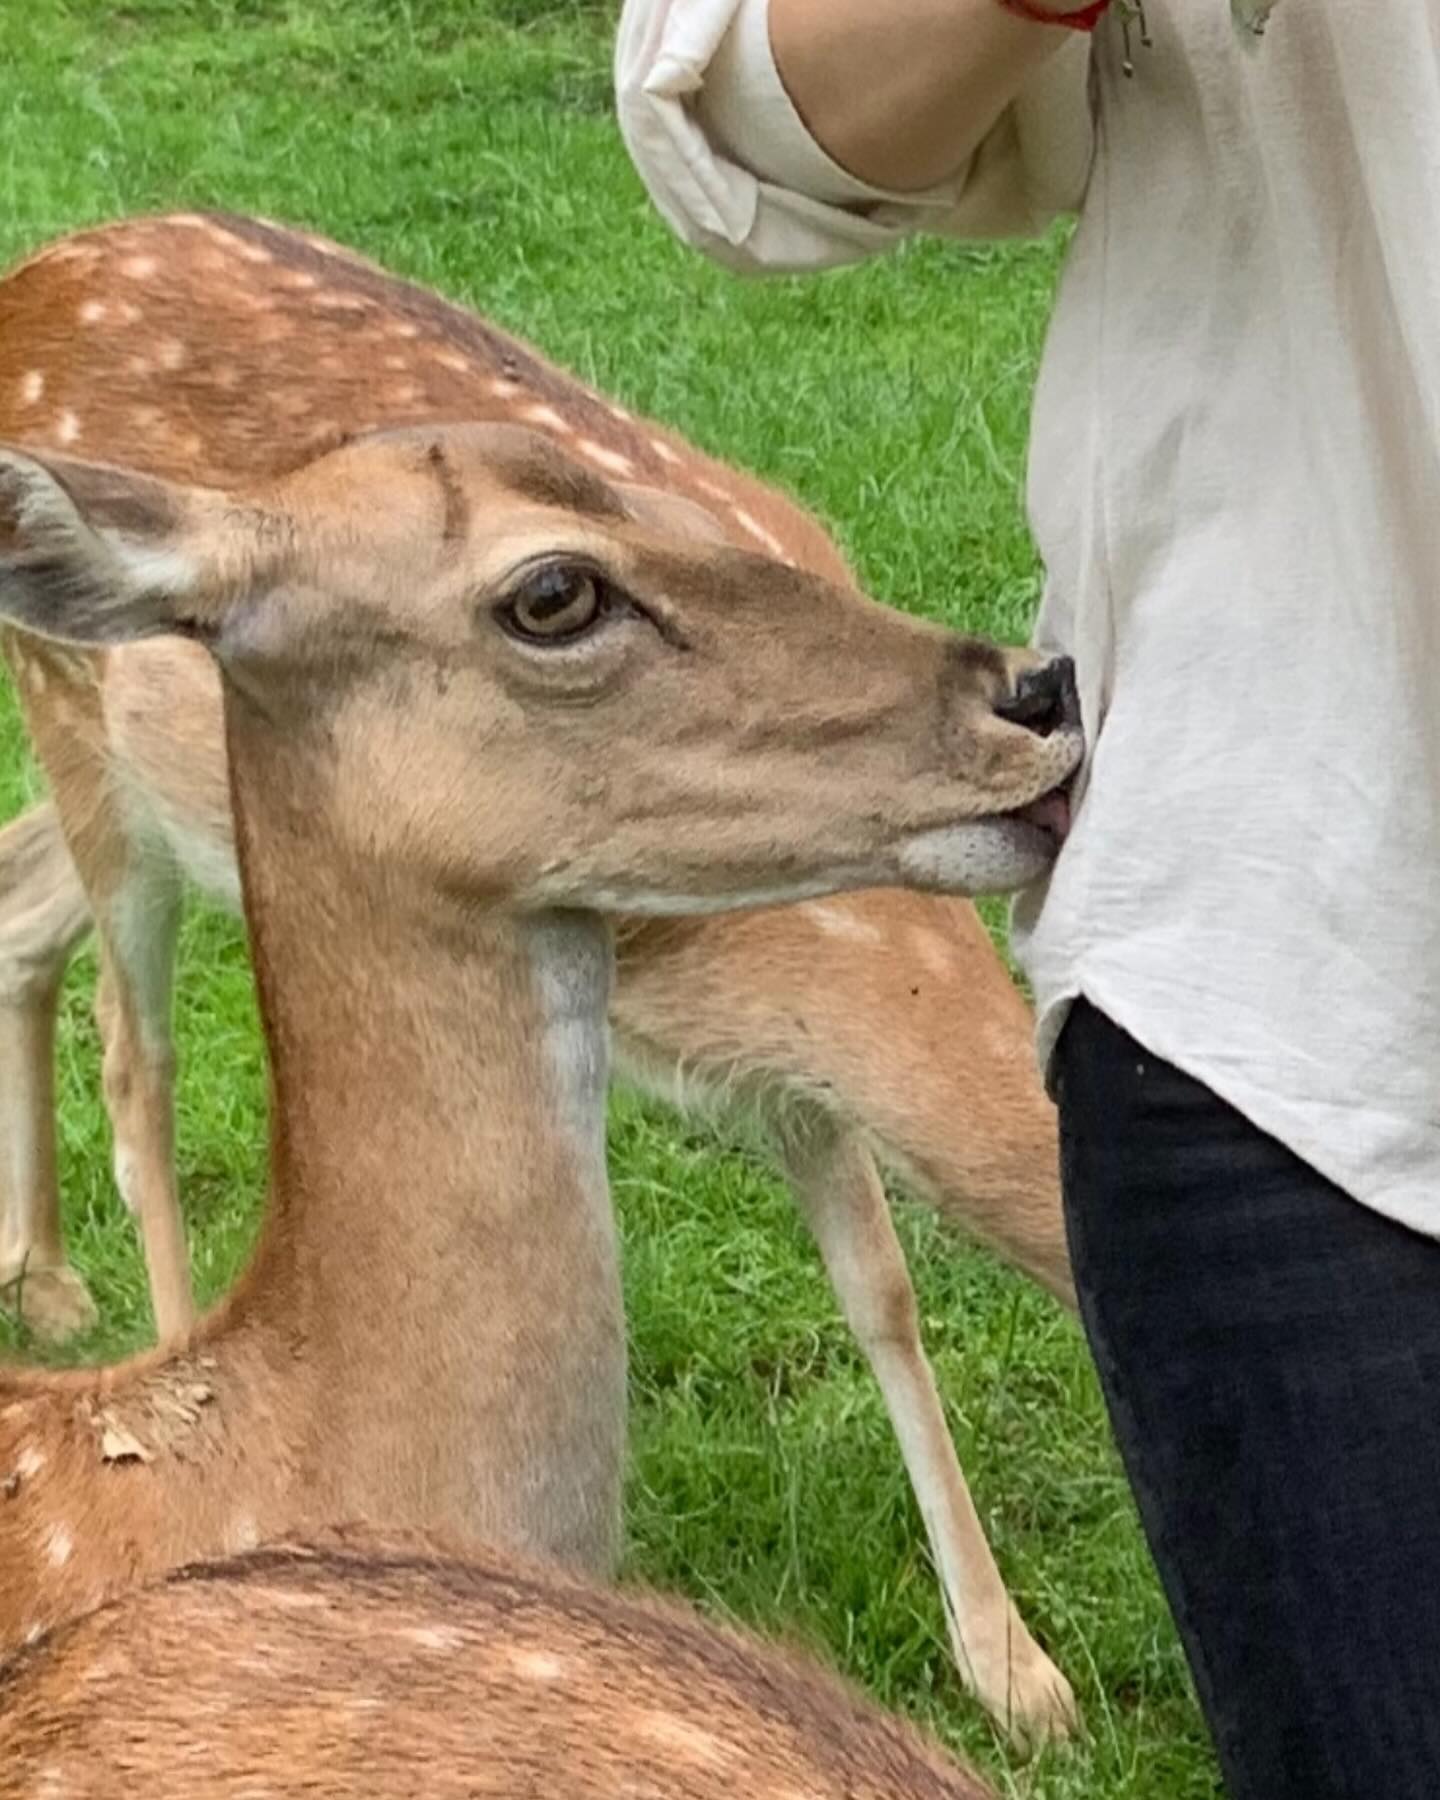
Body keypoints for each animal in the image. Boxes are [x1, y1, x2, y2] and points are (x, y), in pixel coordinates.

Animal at [0, 214, 1080, 1742]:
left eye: (701, 529)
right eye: (555, 591)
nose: (1036, 689)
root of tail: (49, 259)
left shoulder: (782, 1067)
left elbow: (879, 1286)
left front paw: (1012, 1667)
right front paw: (1017, 1669)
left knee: (18, 903)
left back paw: (40, 1276)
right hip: (80, 732)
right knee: (131, 1052)